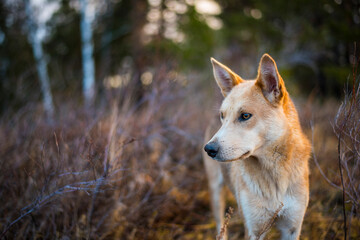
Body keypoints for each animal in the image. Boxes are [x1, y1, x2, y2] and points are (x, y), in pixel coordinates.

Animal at [204, 54, 310, 240]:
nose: (209, 149)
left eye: (245, 116)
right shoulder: (255, 230)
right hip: (215, 190)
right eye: (223, 116)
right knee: (220, 225)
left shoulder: (292, 227)